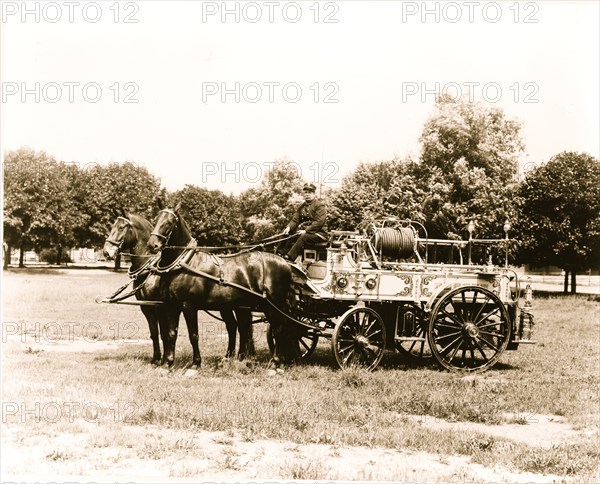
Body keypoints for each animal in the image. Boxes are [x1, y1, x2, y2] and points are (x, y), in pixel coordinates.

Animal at [102, 214, 255, 364]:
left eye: (121, 227)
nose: (106, 252)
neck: (151, 271)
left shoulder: (160, 306)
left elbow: (164, 333)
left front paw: (164, 359)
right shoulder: (147, 307)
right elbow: (155, 333)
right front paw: (157, 358)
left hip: (238, 306)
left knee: (242, 326)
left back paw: (241, 356)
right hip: (226, 306)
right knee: (233, 326)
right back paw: (230, 356)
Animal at [148, 207, 298, 366]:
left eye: (169, 223)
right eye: (156, 219)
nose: (152, 245)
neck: (185, 264)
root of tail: (285, 263)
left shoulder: (189, 306)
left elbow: (193, 335)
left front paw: (196, 363)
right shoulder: (171, 306)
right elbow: (171, 334)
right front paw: (168, 362)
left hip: (272, 304)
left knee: (278, 328)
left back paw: (276, 361)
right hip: (245, 305)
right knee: (247, 327)